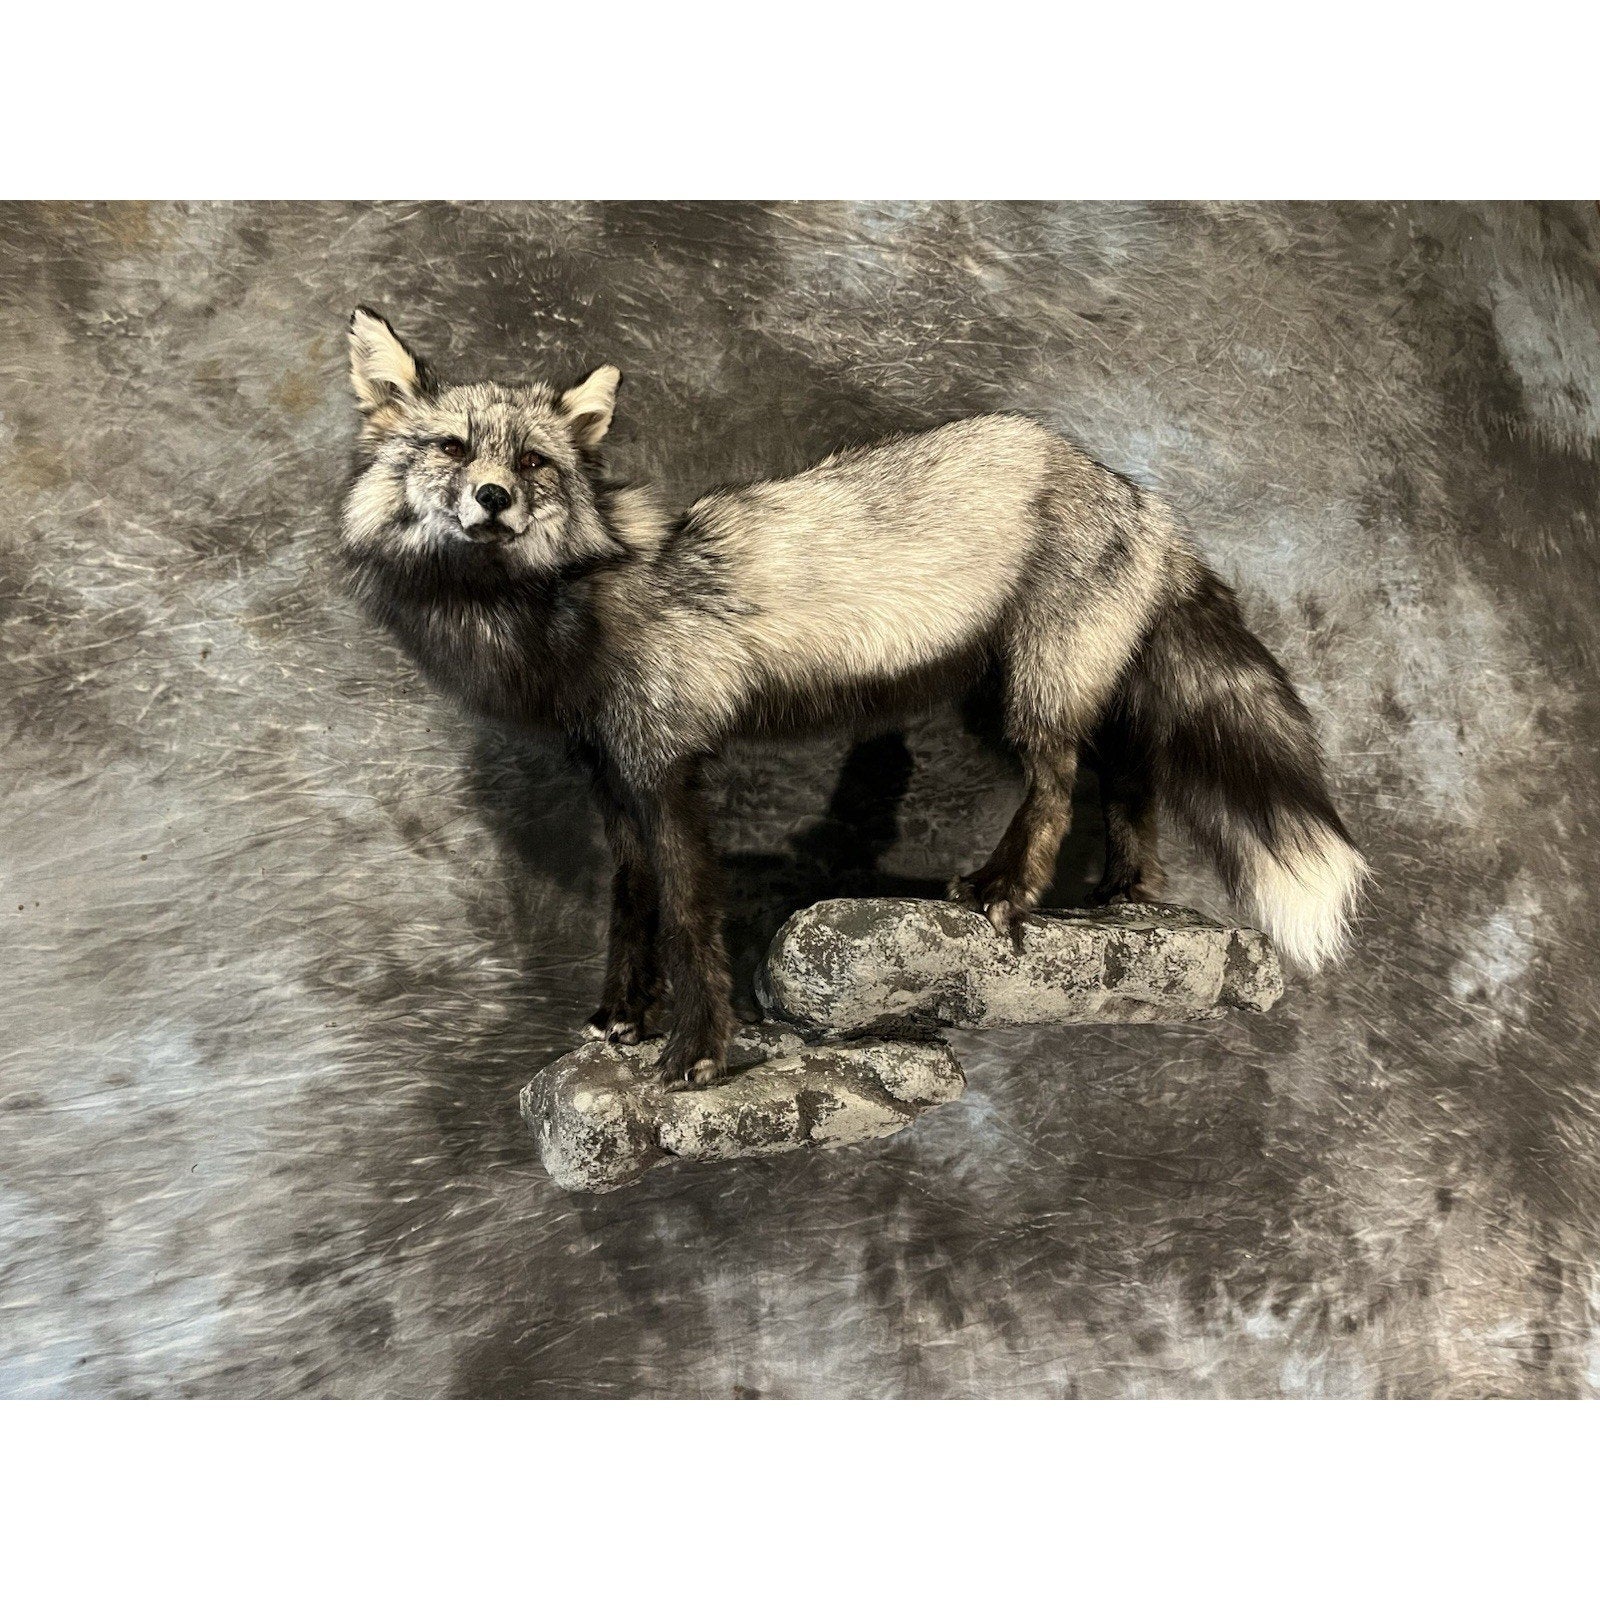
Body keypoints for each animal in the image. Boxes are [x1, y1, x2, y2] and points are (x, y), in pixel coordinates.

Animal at [340, 307, 1366, 1087]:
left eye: (536, 463)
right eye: (451, 447)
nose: (494, 498)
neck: (569, 607)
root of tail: (1131, 487)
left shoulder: (667, 770)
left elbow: (687, 920)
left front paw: (696, 1052)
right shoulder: (611, 773)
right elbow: (631, 908)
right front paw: (623, 1018)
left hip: (1034, 689)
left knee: (1058, 782)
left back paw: (1009, 891)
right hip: (1059, 686)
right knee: (1128, 777)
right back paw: (1124, 894)